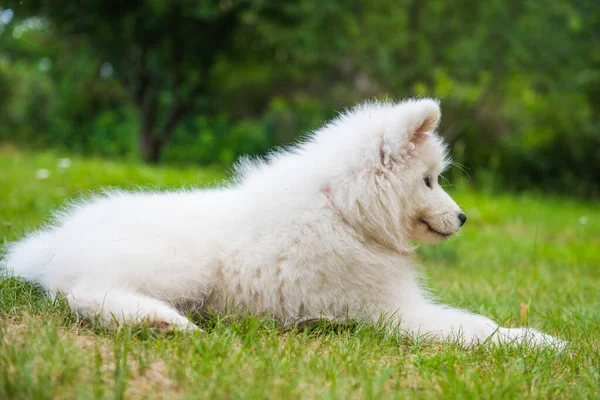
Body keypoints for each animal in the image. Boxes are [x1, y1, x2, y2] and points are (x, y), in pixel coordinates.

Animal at [3, 99, 564, 346]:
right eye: (429, 181)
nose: (464, 217)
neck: (342, 211)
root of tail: (51, 245)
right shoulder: (390, 311)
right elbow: (474, 327)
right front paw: (538, 342)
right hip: (178, 265)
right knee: (86, 296)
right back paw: (163, 321)